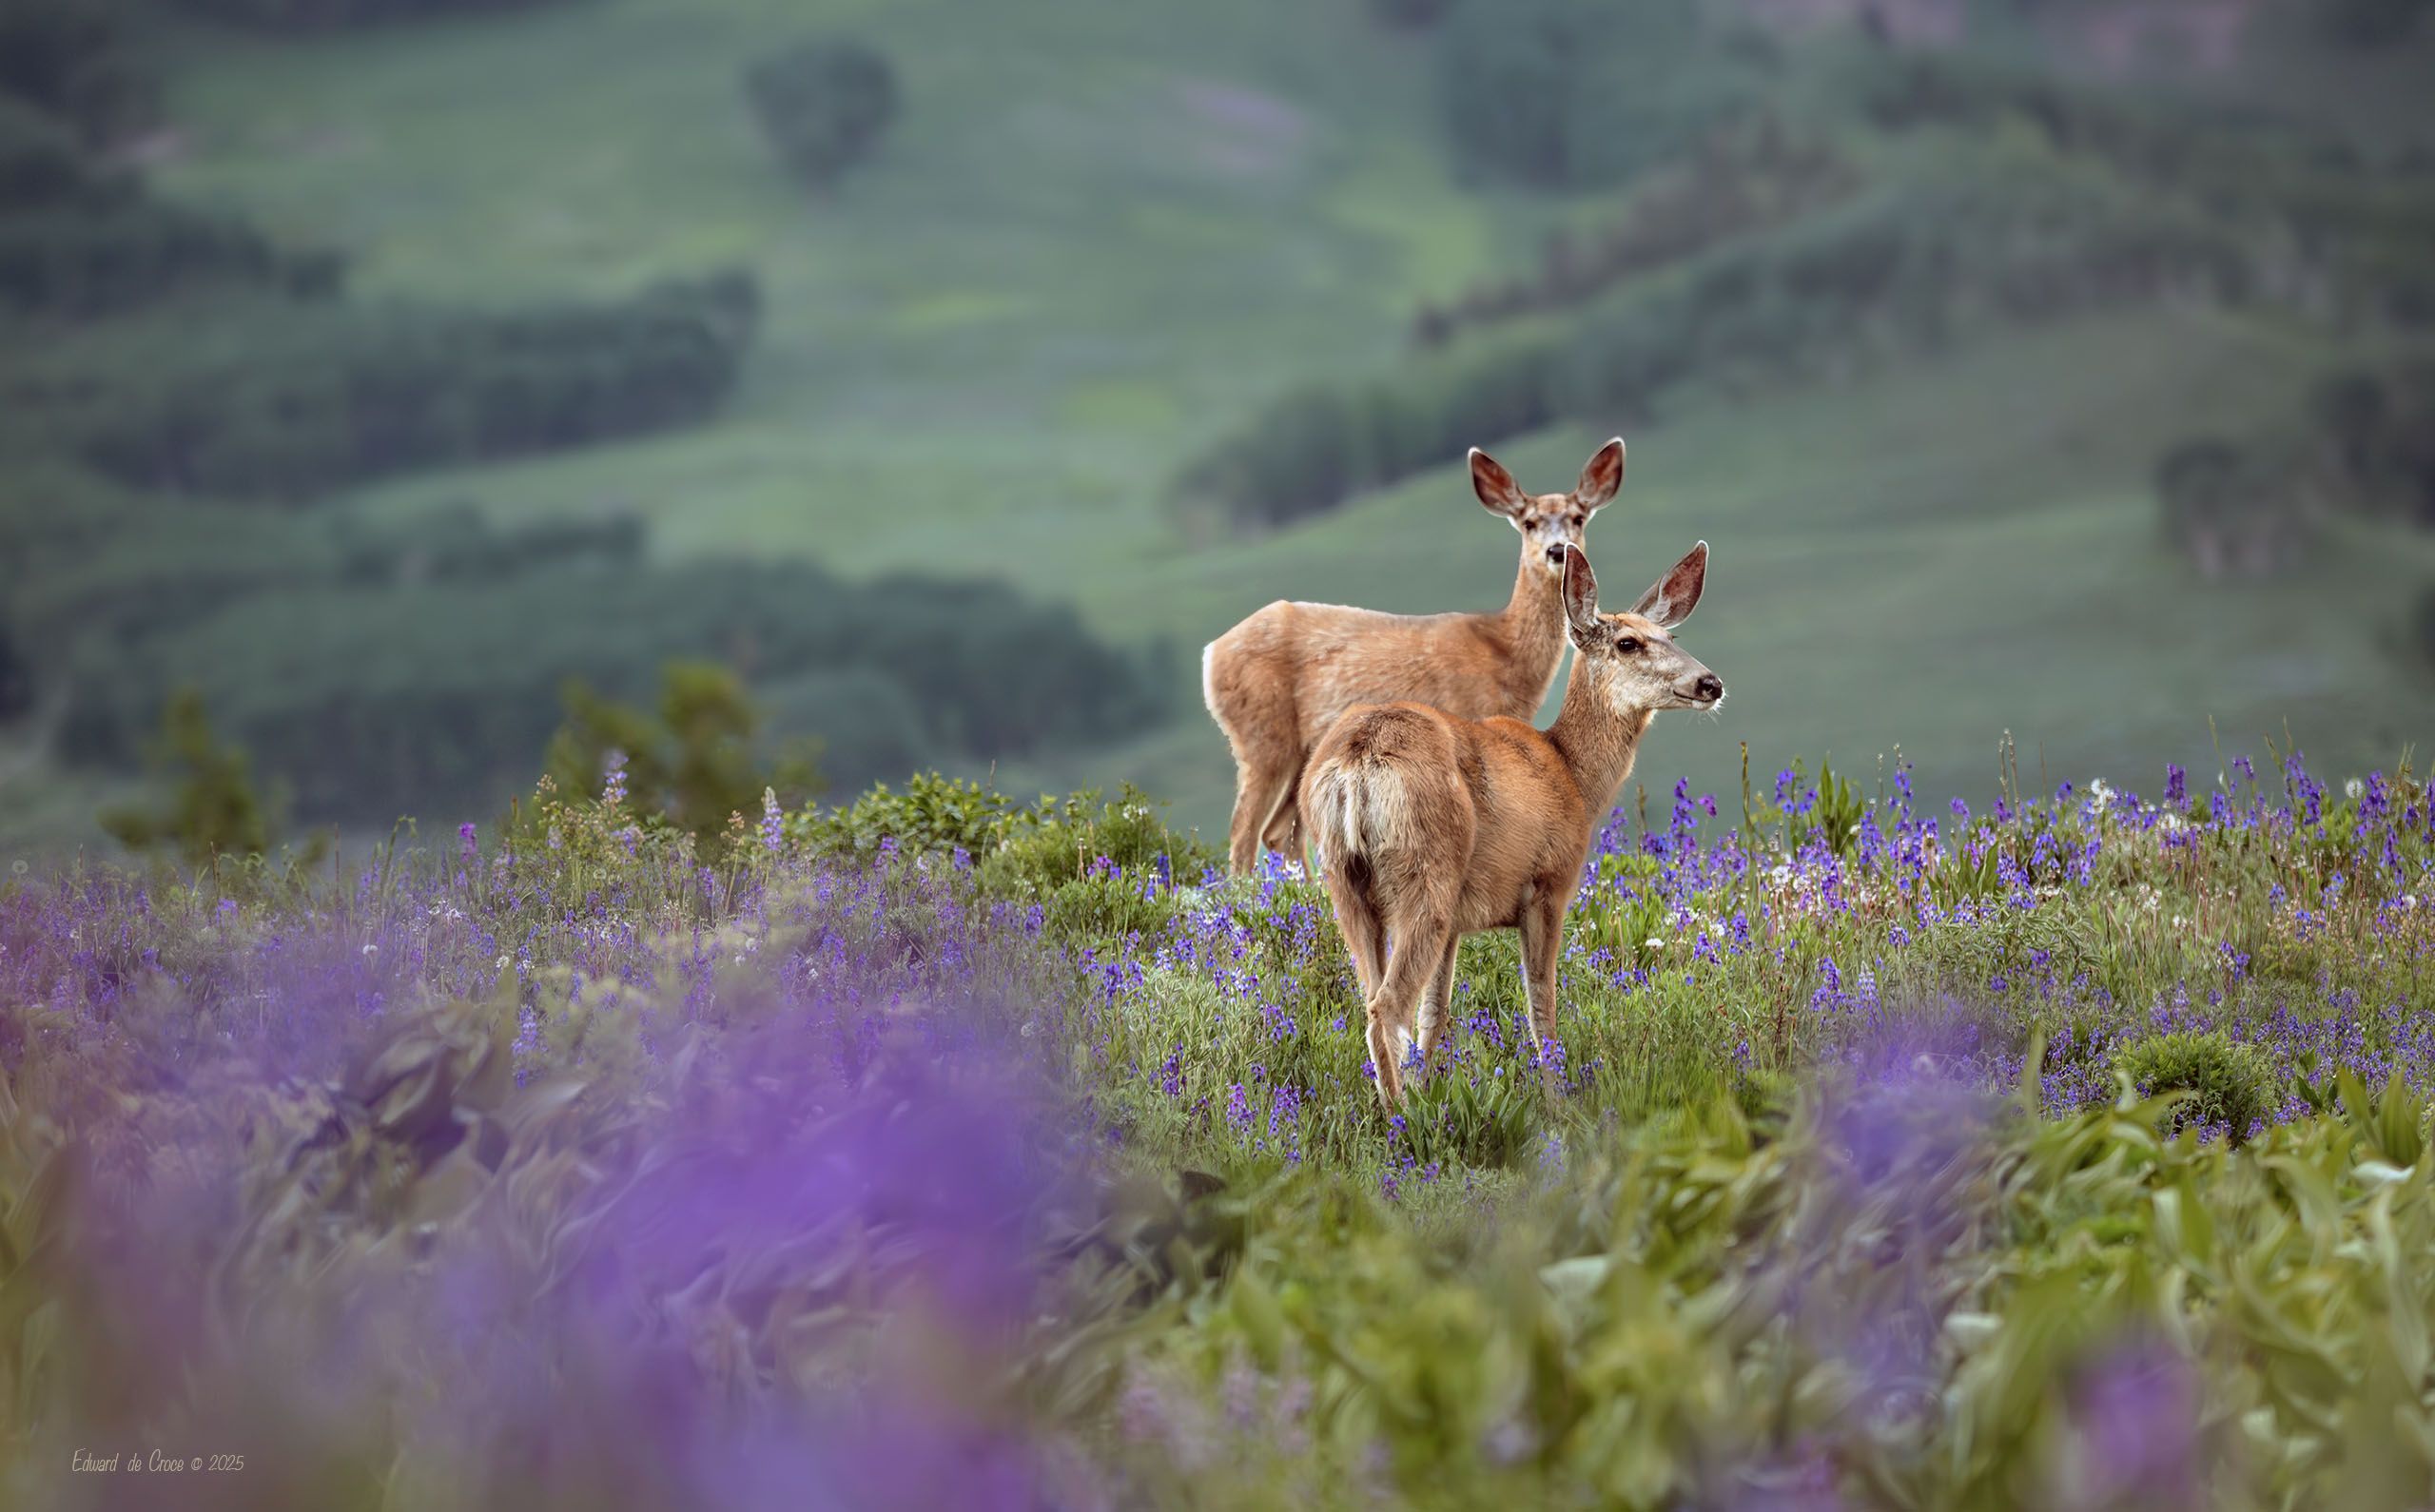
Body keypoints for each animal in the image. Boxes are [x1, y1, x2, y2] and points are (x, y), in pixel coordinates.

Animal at [1201, 438, 1627, 876]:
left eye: (1578, 517)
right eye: (1528, 522)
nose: (1557, 550)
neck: (1503, 652)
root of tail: (1211, 652)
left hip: (1302, 751)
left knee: (1279, 833)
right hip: (1262, 735)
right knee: (1244, 832)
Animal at [1299, 539, 1721, 1111]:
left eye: (1671, 637)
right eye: (1629, 643)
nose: (1710, 683)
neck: (1573, 777)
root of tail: (1356, 760)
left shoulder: (1459, 921)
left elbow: (1437, 1015)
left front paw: (1433, 1086)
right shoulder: (1548, 886)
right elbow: (1541, 1006)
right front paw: (1558, 1102)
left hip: (1346, 880)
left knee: (1373, 998)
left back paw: (1401, 1110)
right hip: (1426, 872)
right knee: (1387, 1005)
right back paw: (1403, 1120)